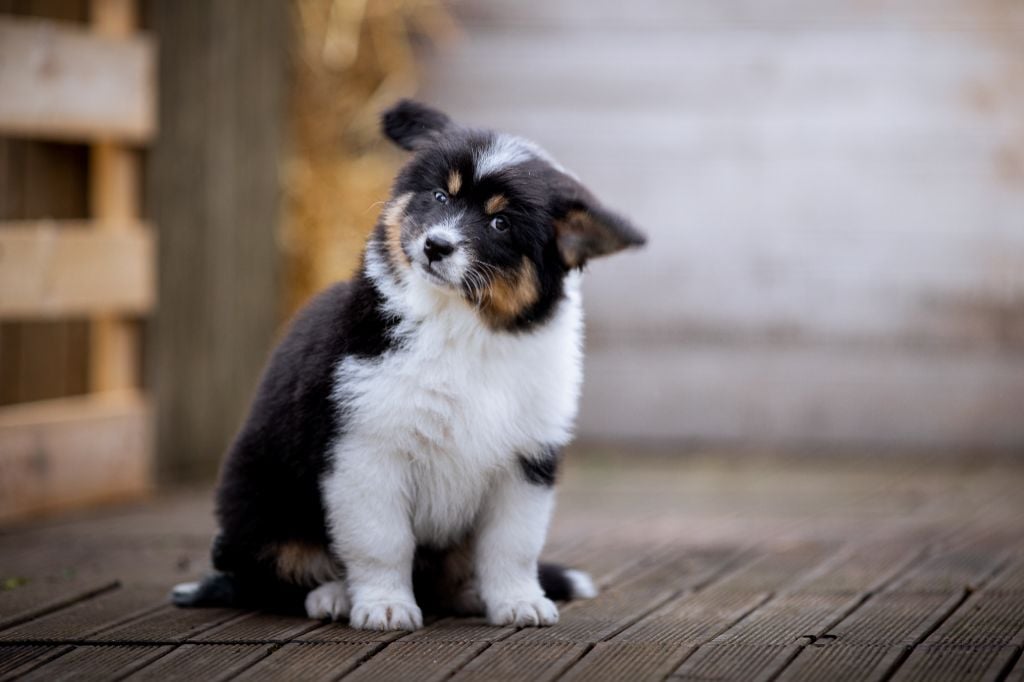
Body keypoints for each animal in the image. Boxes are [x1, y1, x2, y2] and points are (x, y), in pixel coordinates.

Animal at [172, 100, 645, 630]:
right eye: (439, 195)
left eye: (500, 223)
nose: (436, 246)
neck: (461, 328)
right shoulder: (366, 450)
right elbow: (382, 541)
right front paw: (384, 605)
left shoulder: (525, 461)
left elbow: (512, 545)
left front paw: (519, 601)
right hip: (261, 506)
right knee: (270, 575)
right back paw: (333, 595)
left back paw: (466, 592)